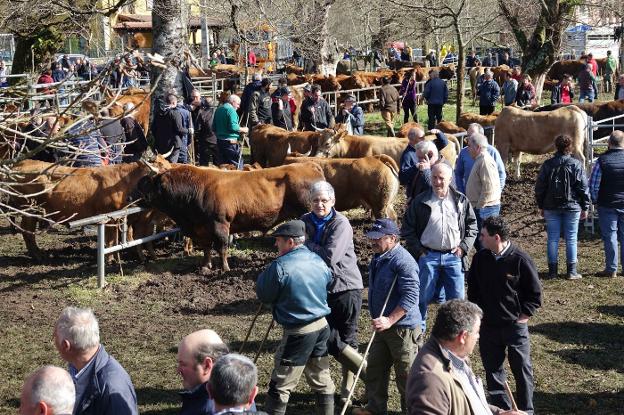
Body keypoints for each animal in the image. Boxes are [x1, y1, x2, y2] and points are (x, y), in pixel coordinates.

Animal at [132, 162, 326, 272]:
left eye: (148, 182)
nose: (131, 196)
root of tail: (308, 165)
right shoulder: (202, 229)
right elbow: (206, 248)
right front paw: (205, 266)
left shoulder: (220, 225)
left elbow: (222, 247)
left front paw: (225, 268)